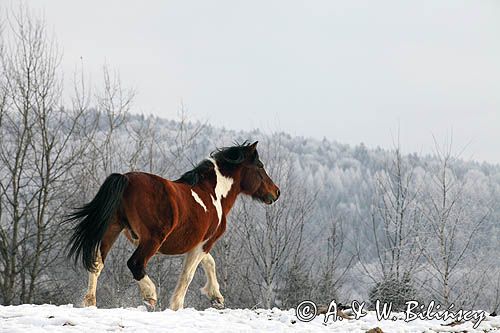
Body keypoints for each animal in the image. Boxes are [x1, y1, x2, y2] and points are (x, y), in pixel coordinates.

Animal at [65, 140, 282, 308]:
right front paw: (177, 306)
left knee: (97, 263)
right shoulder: (204, 243)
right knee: (135, 264)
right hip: (151, 239)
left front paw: (216, 297)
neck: (213, 194)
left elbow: (209, 262)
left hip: (112, 229)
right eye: (260, 166)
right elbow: (188, 275)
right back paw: (150, 296)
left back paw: (89, 302)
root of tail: (125, 178)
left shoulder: (199, 244)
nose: (276, 192)